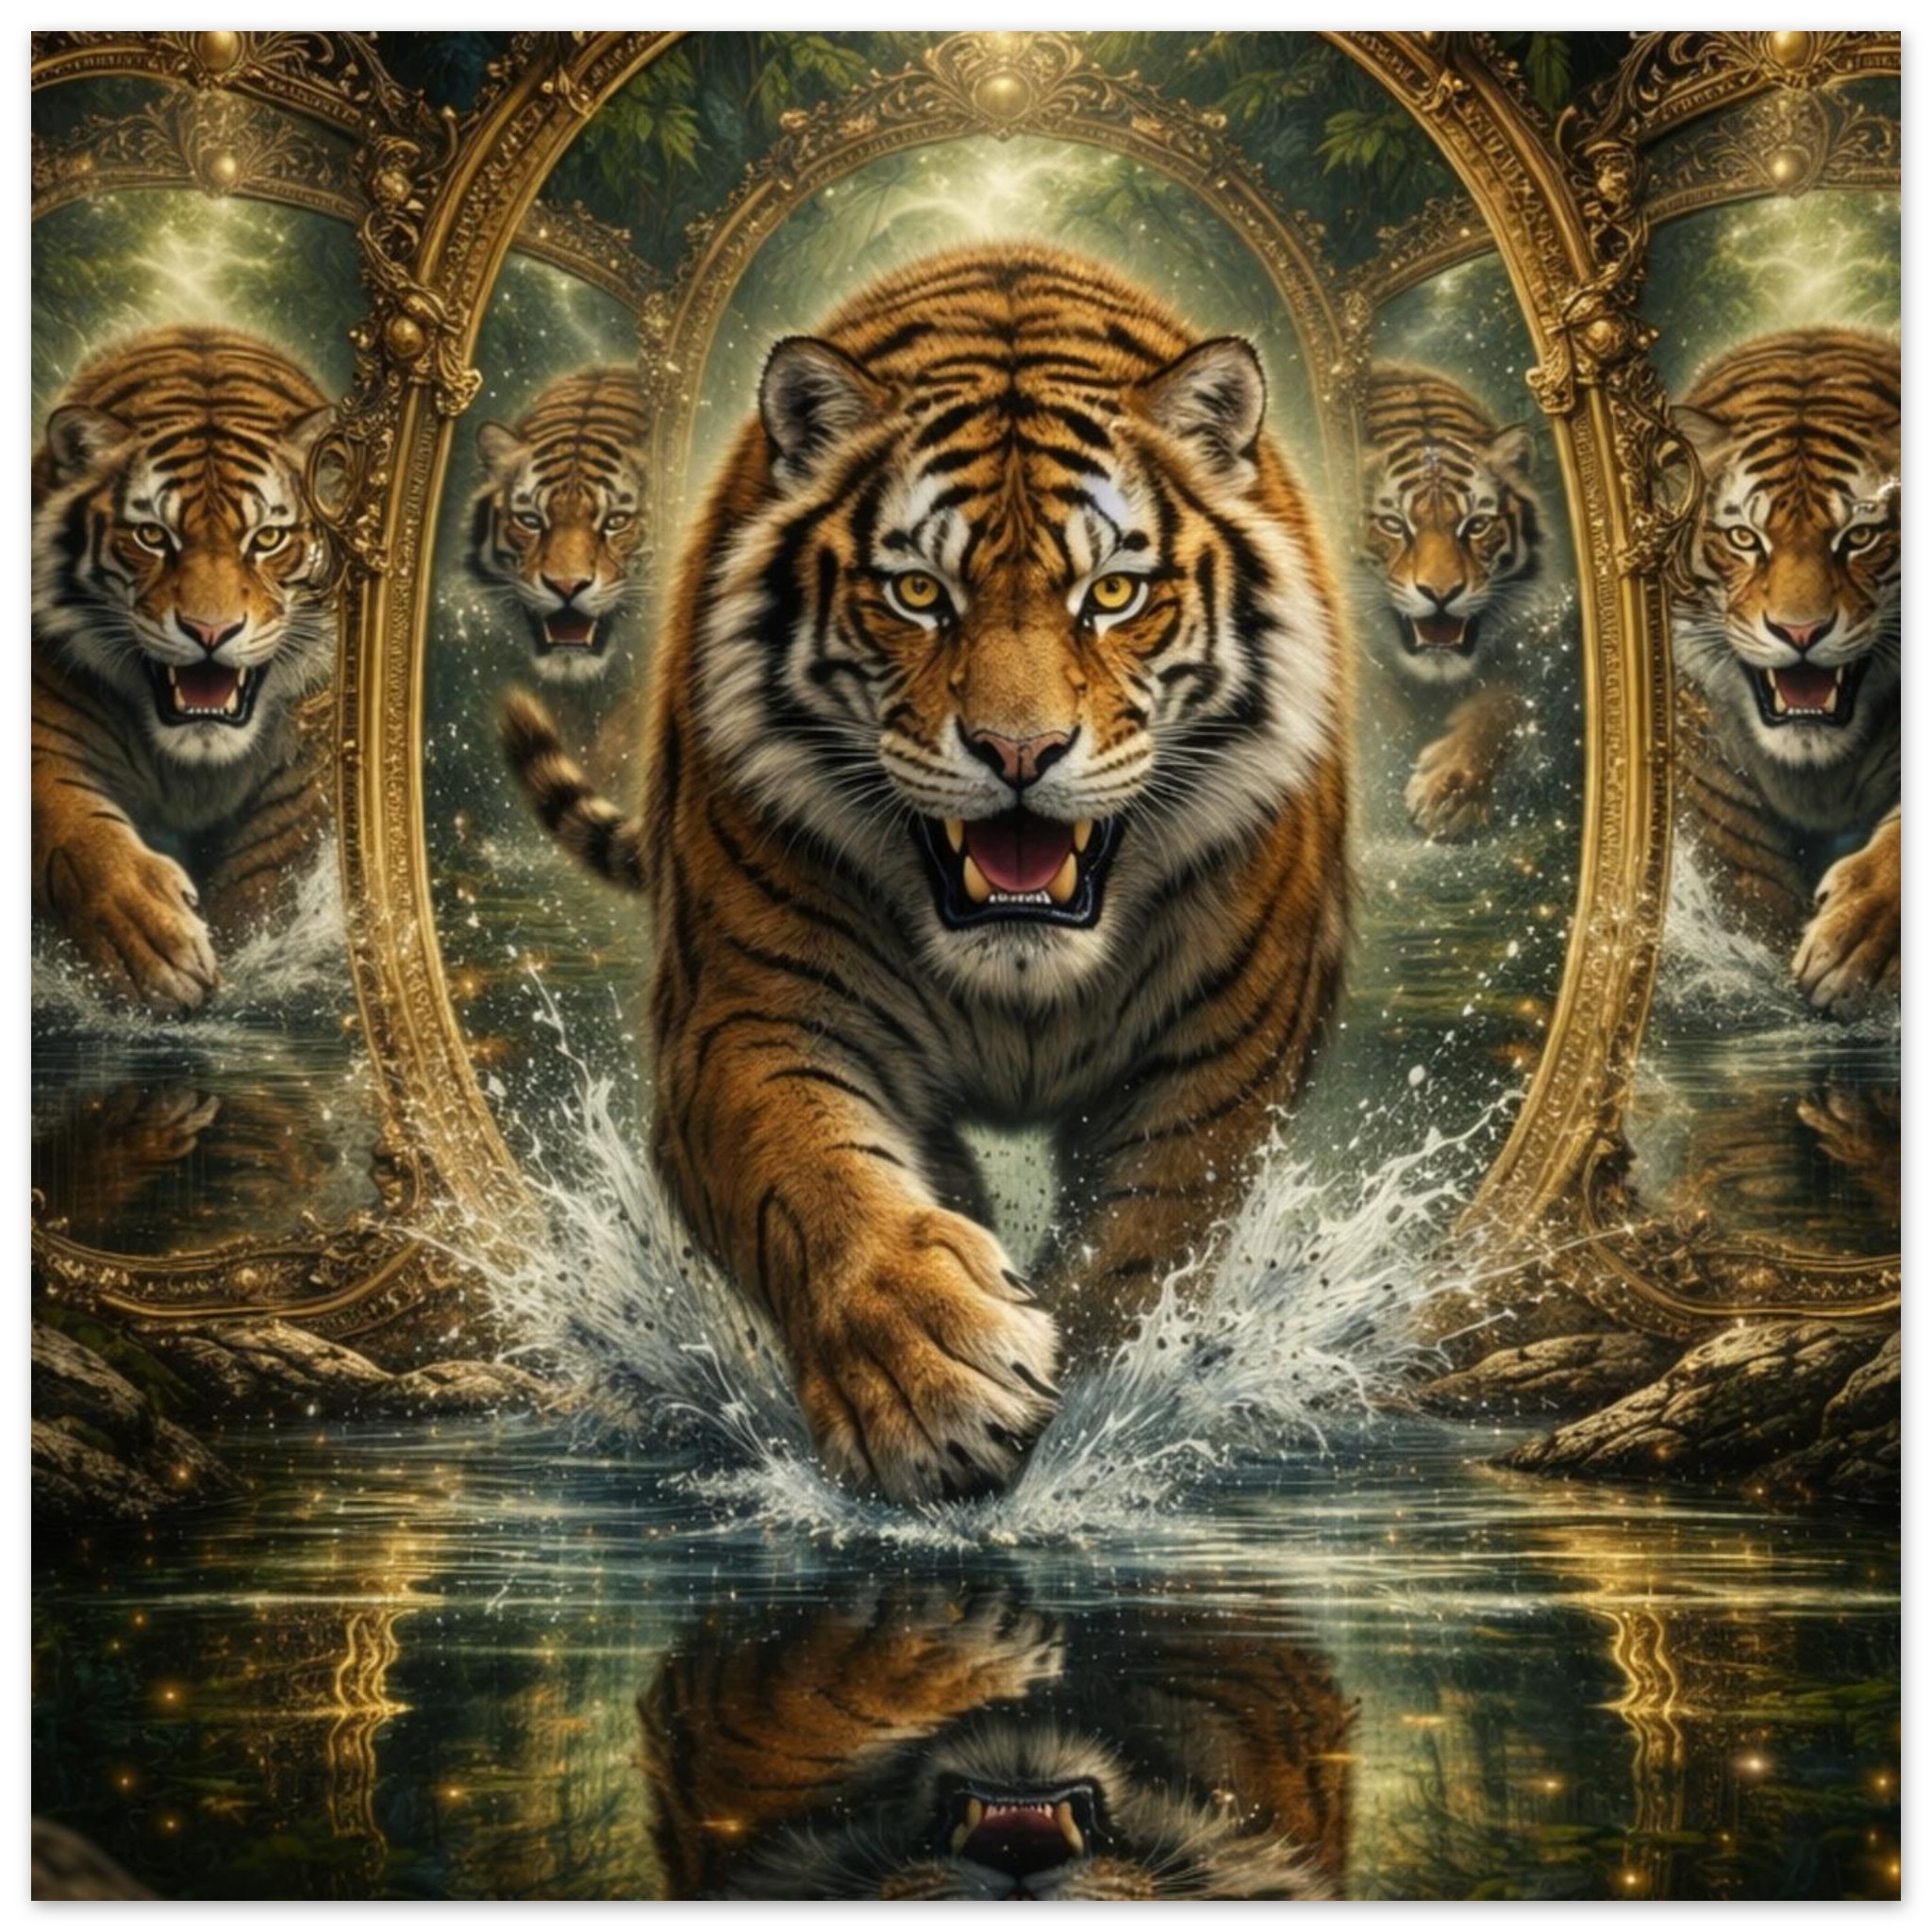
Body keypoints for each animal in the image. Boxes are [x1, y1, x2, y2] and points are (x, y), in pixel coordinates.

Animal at [31, 326, 337, 1013]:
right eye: (152, 536)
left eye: (267, 540)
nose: (210, 632)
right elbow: (78, 831)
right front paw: (153, 946)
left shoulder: (307, 773)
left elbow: (265, 885)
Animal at [504, 245, 1352, 1503]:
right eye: (917, 594)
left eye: (1111, 595)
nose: (1017, 752)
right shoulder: (745, 1018)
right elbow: (815, 1177)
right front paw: (929, 1377)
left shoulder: (1220, 1060)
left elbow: (1142, 1243)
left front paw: (1095, 1410)